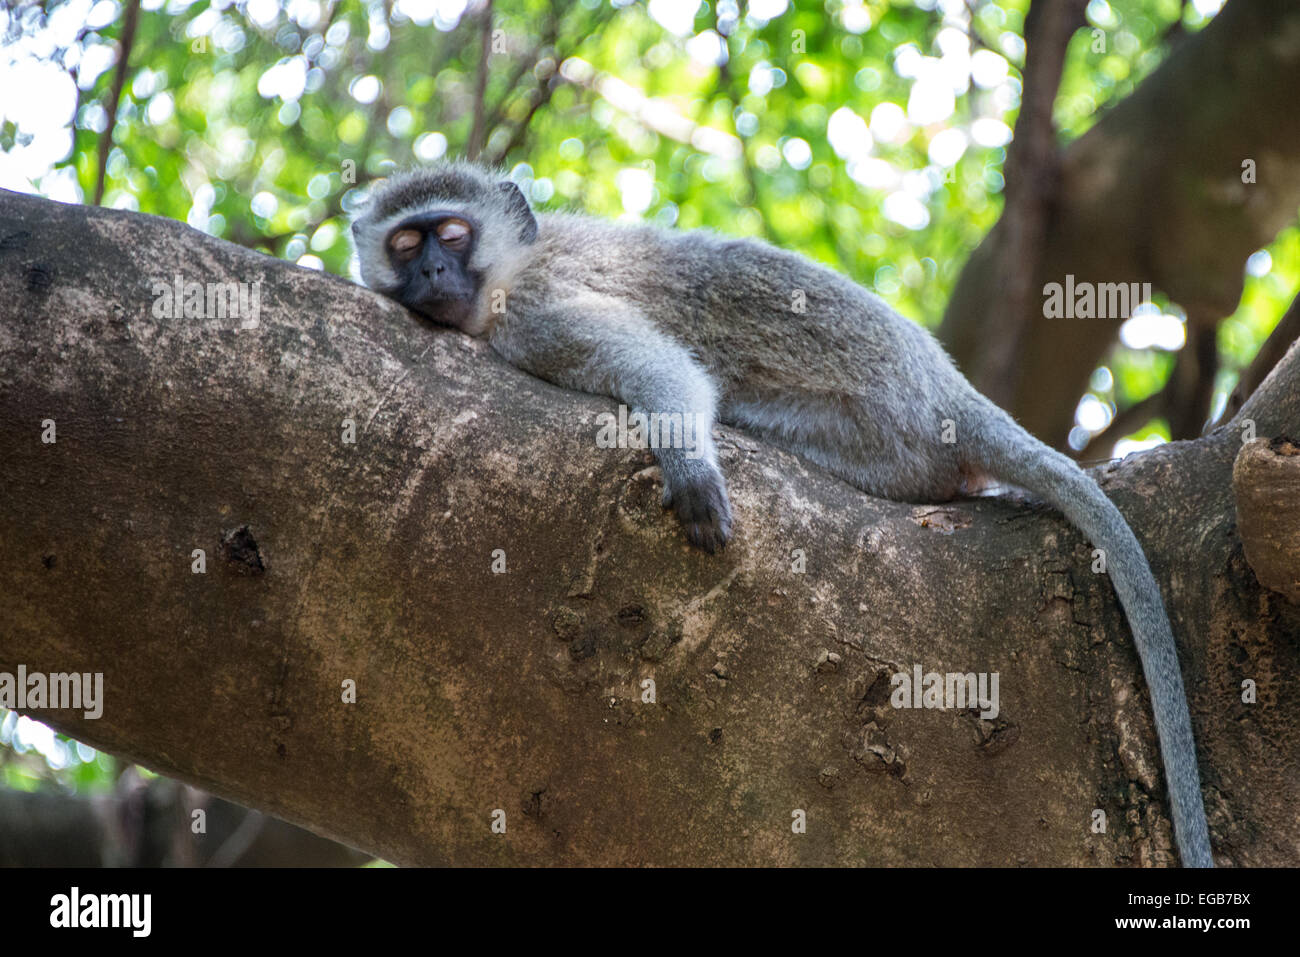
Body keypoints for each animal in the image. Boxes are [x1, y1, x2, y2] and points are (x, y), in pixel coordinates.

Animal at [351, 158, 1211, 868]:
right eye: (406, 243)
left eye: (451, 235)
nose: (432, 268)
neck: (515, 266)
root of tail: (949, 392)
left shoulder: (535, 311)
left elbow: (655, 364)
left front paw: (691, 461)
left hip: (875, 438)